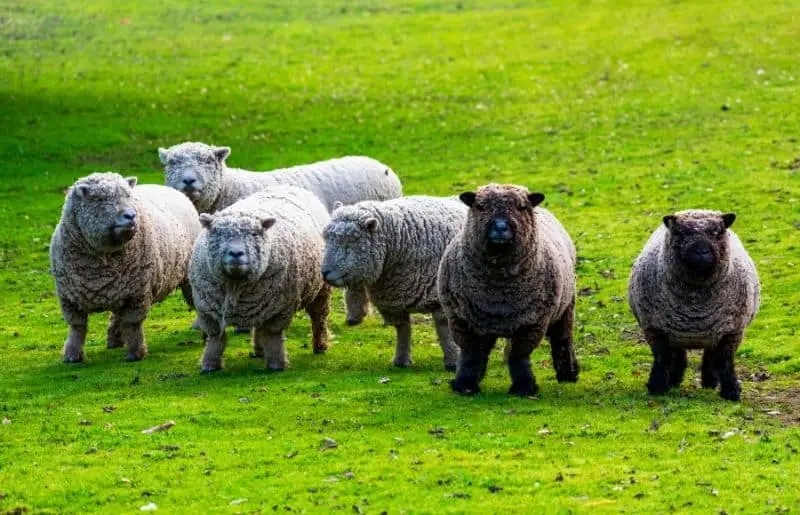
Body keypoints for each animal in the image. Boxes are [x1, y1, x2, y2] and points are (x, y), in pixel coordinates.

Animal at [50, 172, 202, 363]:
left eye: (128, 196)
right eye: (100, 199)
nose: (131, 215)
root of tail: (169, 188)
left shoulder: (137, 295)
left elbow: (132, 325)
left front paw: (135, 352)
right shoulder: (70, 299)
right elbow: (77, 328)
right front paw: (72, 355)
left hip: (189, 276)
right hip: (118, 289)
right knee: (117, 315)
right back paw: (114, 339)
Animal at [189, 186, 331, 373]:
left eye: (255, 234)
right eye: (218, 233)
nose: (236, 253)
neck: (235, 284)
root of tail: (289, 186)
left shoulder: (280, 309)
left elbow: (272, 336)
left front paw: (277, 364)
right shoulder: (208, 312)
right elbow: (216, 339)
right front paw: (209, 364)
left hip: (321, 289)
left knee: (318, 318)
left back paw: (320, 346)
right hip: (260, 303)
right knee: (259, 325)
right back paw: (259, 350)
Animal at [320, 196, 467, 371]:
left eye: (350, 242)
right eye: (326, 238)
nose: (324, 273)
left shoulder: (440, 298)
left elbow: (443, 329)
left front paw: (453, 361)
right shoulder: (394, 300)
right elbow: (402, 329)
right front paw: (401, 360)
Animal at [437, 184, 579, 396]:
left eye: (521, 207)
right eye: (480, 206)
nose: (500, 228)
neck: (498, 290)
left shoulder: (531, 323)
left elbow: (518, 356)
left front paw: (523, 387)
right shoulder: (461, 320)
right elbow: (471, 355)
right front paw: (465, 385)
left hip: (565, 306)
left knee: (562, 340)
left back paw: (568, 374)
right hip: (483, 322)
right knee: (483, 350)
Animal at [628, 210, 760, 401]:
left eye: (716, 232)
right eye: (680, 233)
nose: (701, 252)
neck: (696, 306)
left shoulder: (732, 330)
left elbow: (725, 361)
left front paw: (731, 392)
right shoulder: (655, 328)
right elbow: (662, 358)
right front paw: (657, 387)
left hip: (712, 333)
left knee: (710, 356)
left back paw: (709, 381)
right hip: (676, 332)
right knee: (678, 355)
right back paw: (674, 379)